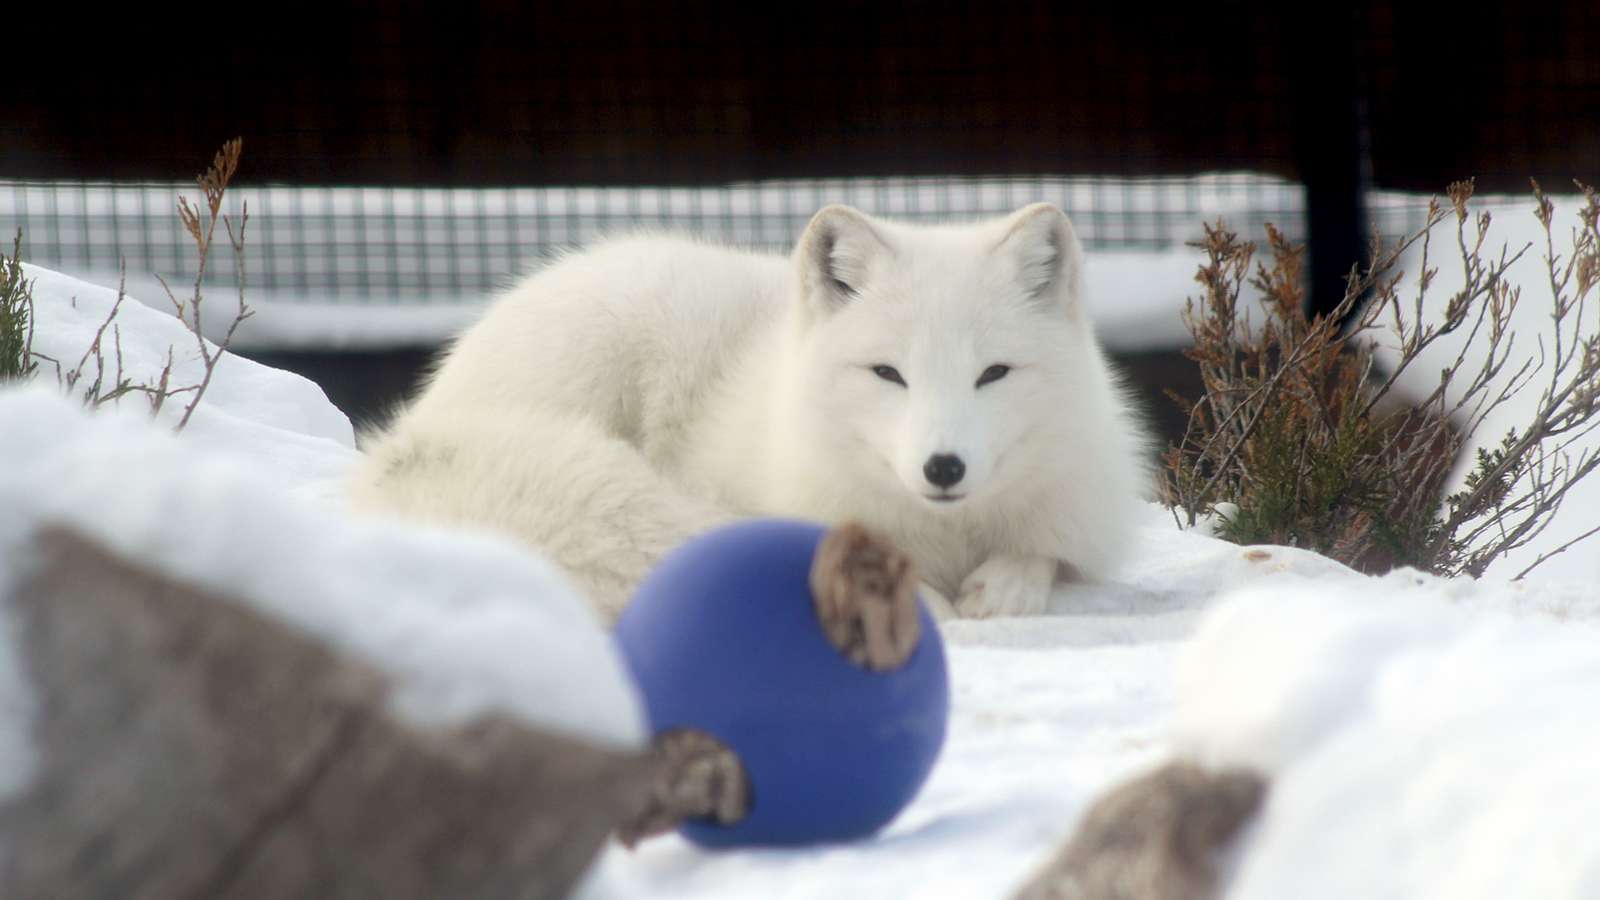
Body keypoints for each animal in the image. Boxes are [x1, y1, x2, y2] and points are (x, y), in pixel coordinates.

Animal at [350, 202, 1152, 614]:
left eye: (993, 374)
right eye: (888, 373)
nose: (944, 467)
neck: (946, 538)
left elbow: (1040, 554)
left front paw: (1005, 584)